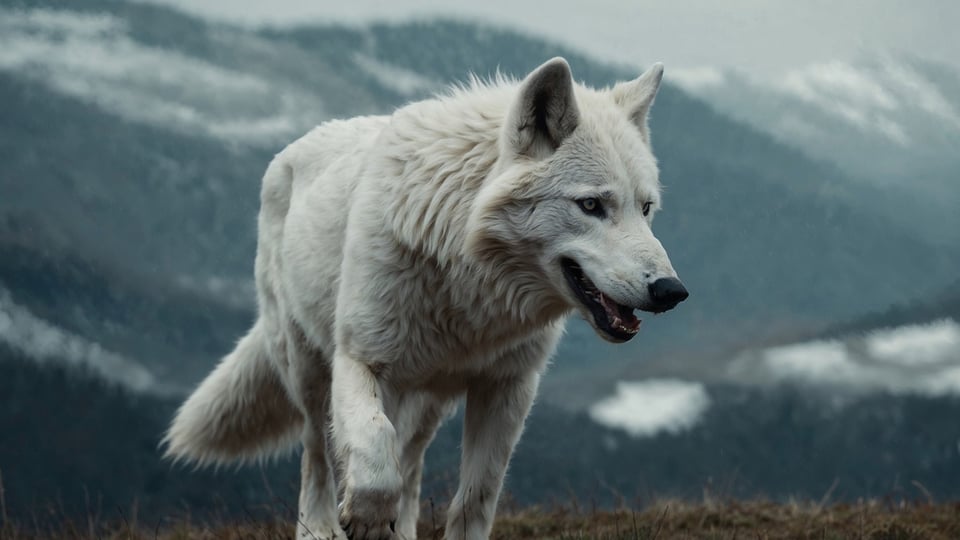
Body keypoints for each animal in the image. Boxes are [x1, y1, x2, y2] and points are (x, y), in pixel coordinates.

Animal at [164, 57, 687, 540]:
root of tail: (295, 147)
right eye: (591, 205)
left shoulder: (508, 387)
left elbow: (475, 498)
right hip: (308, 369)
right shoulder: (360, 360)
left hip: (428, 403)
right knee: (318, 455)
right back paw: (319, 528)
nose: (672, 291)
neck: (469, 279)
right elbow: (373, 456)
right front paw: (366, 518)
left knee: (409, 464)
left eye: (646, 208)